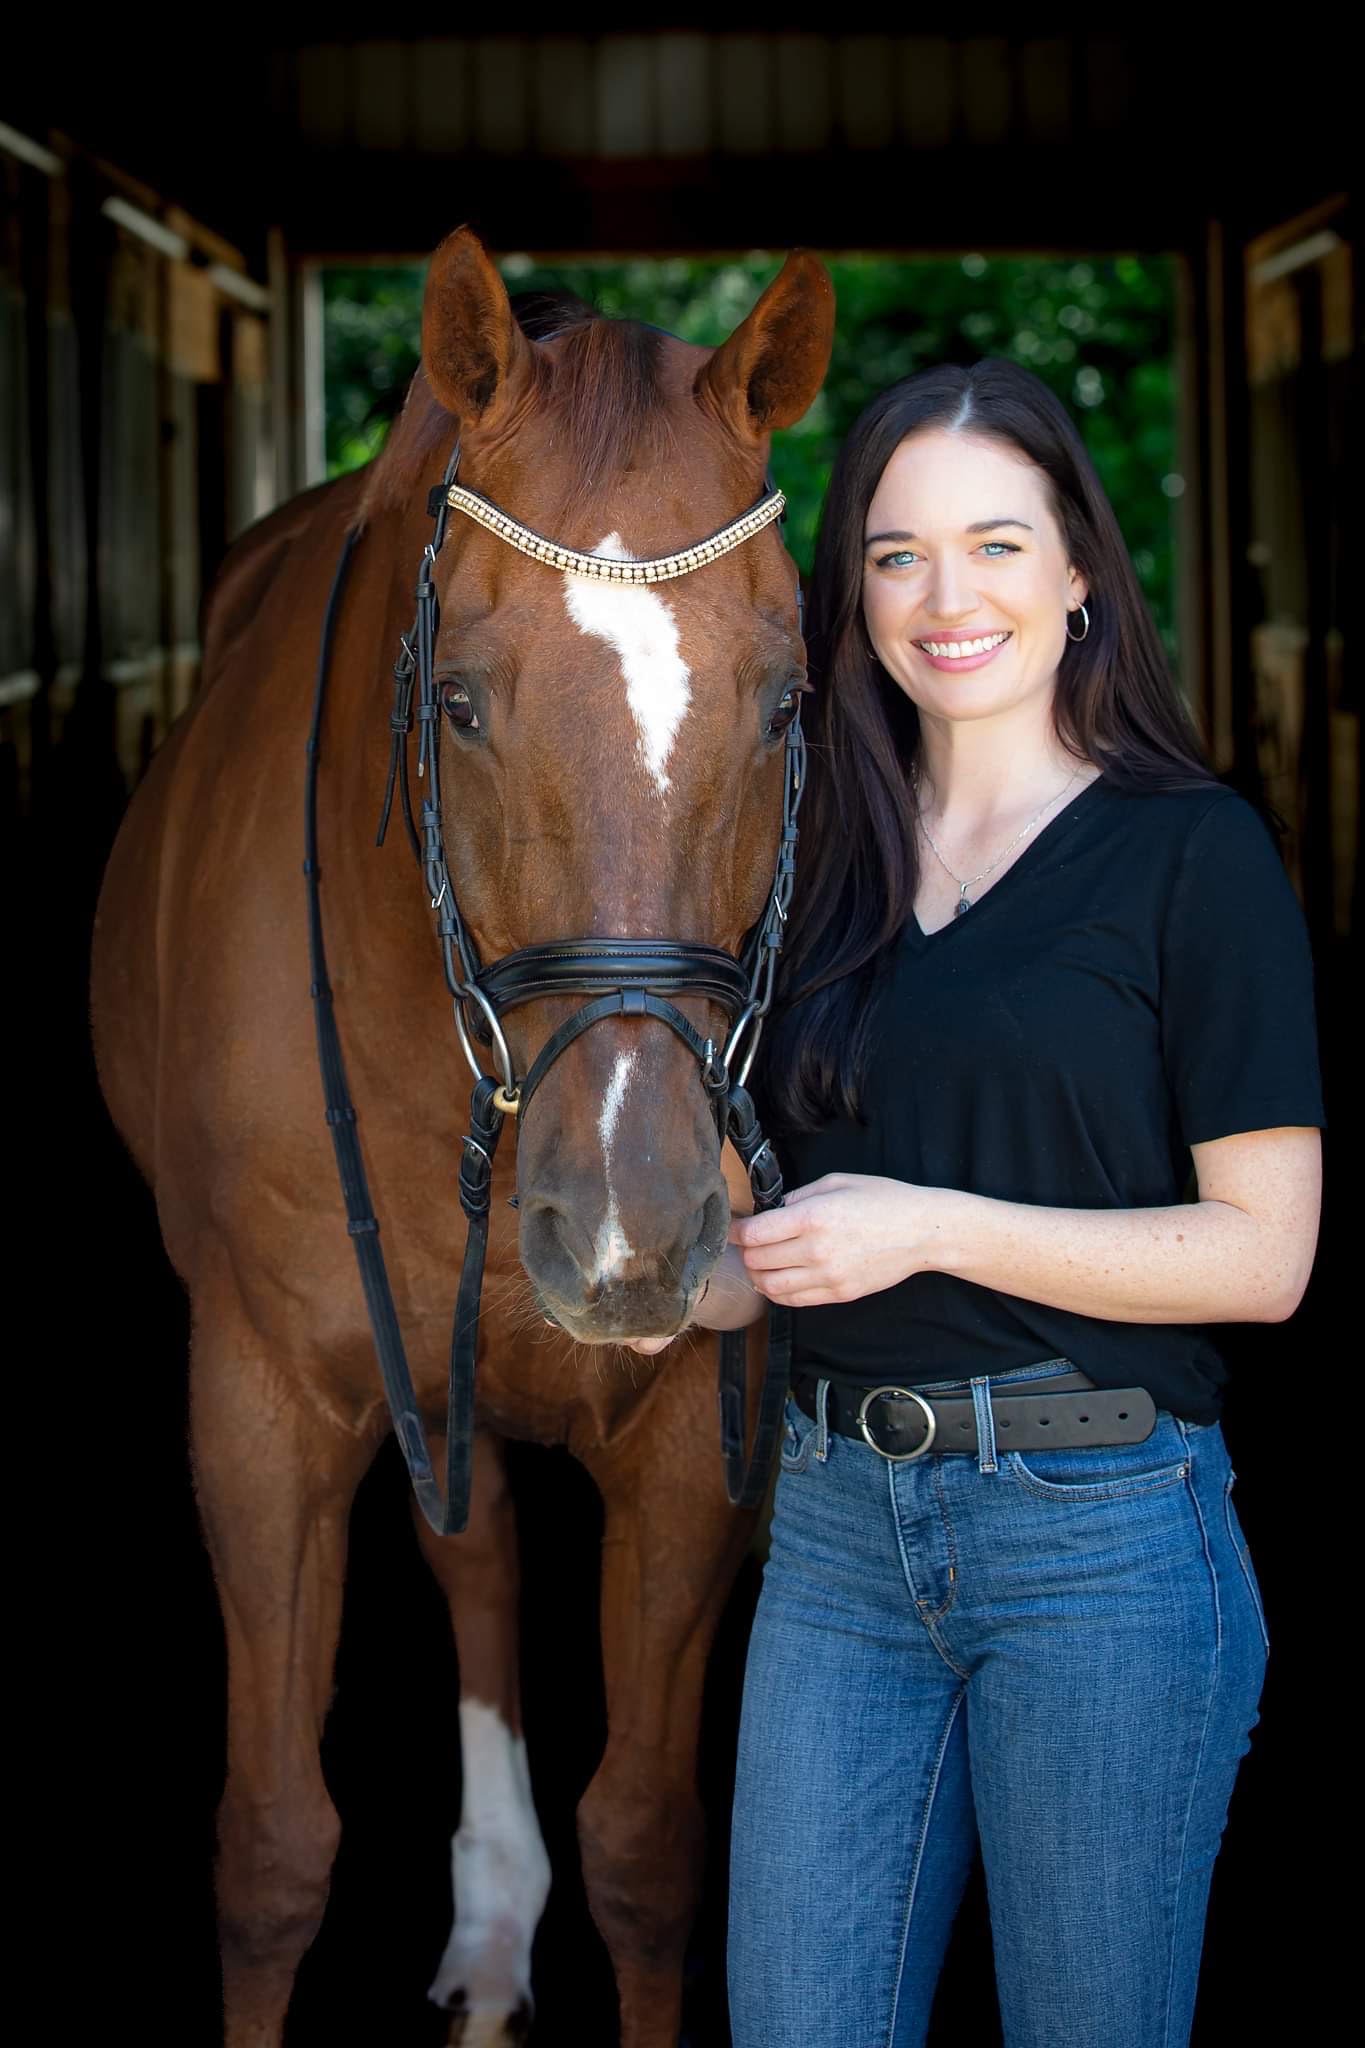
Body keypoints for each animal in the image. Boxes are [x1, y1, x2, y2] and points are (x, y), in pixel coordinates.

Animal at [90, 226, 834, 2047]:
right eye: (463, 701)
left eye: (787, 705)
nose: (634, 1225)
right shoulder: (261, 1407)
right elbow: (272, 1852)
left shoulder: (685, 1432)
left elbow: (647, 1848)